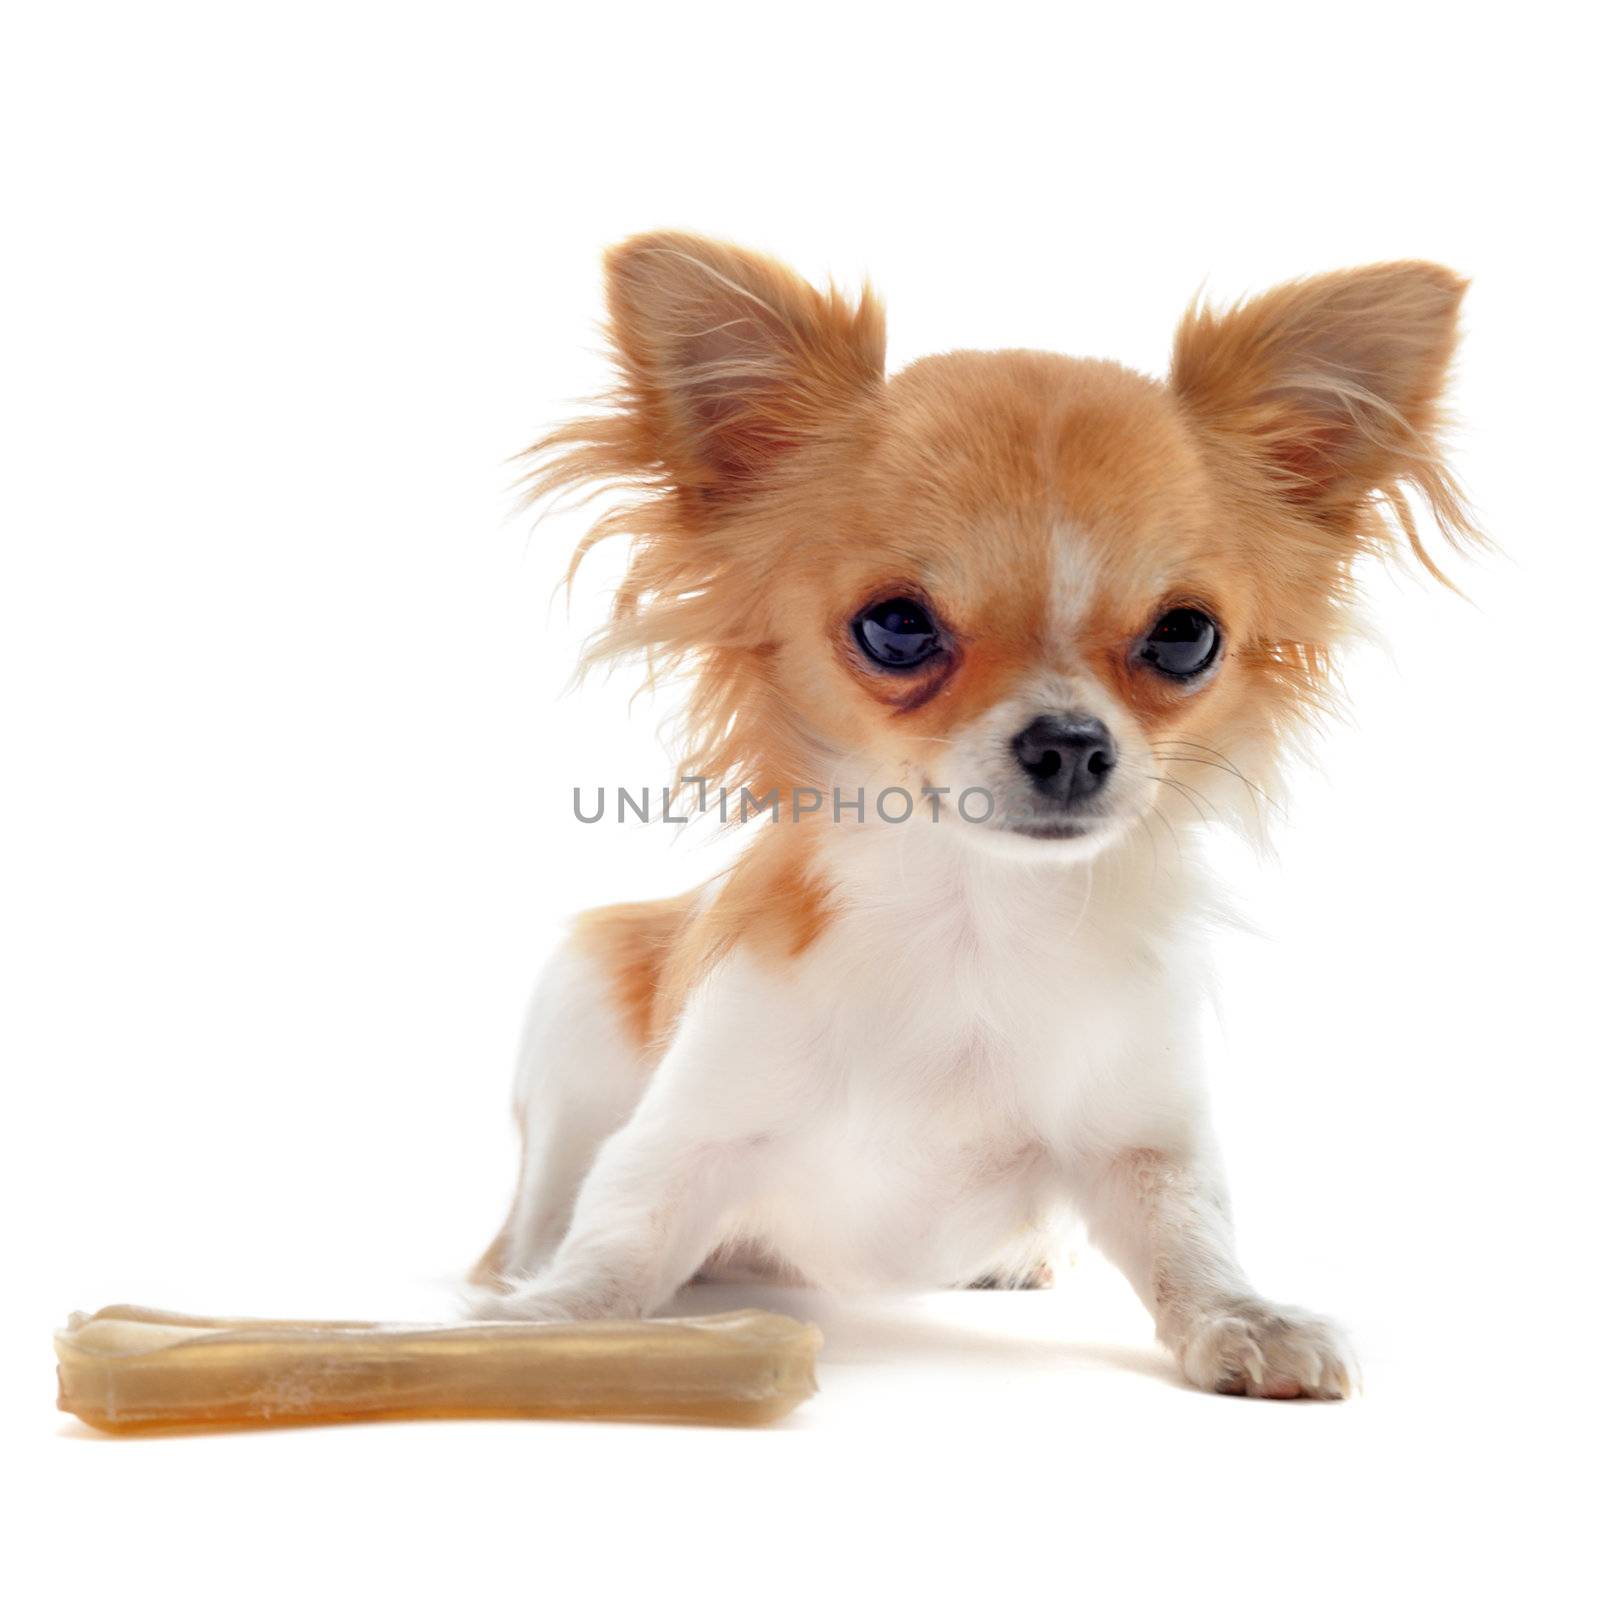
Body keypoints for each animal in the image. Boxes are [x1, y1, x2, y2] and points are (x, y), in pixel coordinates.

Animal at [467, 233, 1472, 1401]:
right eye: (897, 628)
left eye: (1186, 638)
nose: (1071, 742)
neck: (977, 915)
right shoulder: (690, 1128)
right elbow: (622, 1234)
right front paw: (543, 1327)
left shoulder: (1143, 1138)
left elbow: (1189, 1234)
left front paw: (1246, 1316)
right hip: (577, 1003)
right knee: (547, 1204)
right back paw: (516, 1273)